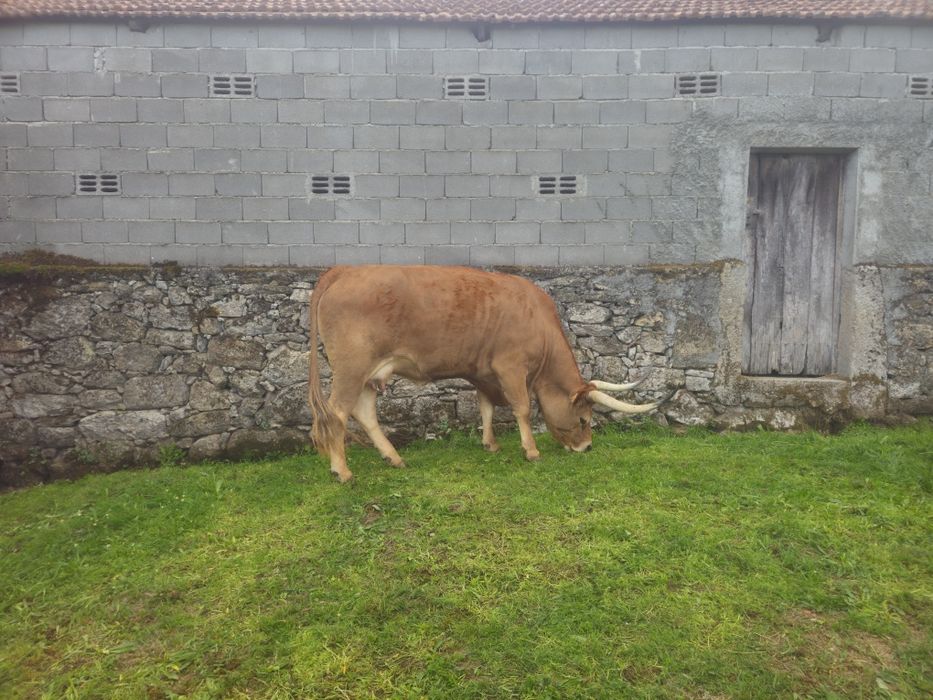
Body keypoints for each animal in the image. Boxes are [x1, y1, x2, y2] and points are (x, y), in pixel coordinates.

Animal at [308, 265, 665, 482]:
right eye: (583, 420)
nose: (586, 448)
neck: (537, 319)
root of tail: (344, 270)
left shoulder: (483, 374)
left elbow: (487, 408)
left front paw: (490, 444)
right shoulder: (511, 367)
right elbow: (522, 408)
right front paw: (531, 450)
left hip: (370, 374)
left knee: (365, 413)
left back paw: (393, 458)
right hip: (351, 369)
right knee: (336, 414)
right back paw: (341, 470)